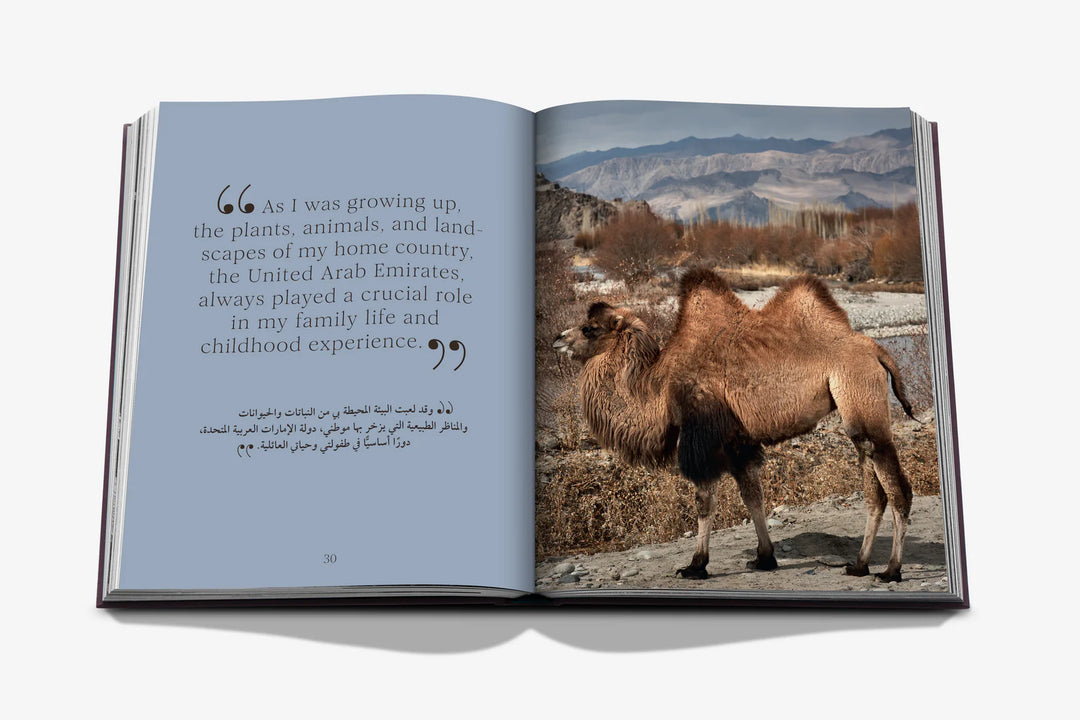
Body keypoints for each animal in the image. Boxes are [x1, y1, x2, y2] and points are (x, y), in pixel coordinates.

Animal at [553, 268, 917, 582]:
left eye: (589, 328)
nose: (557, 338)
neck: (659, 385)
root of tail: (878, 349)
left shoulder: (701, 434)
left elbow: (704, 501)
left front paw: (696, 565)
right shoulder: (737, 439)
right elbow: (752, 495)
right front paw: (764, 558)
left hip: (858, 392)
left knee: (896, 487)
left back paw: (891, 570)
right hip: (856, 409)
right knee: (874, 486)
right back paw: (859, 565)